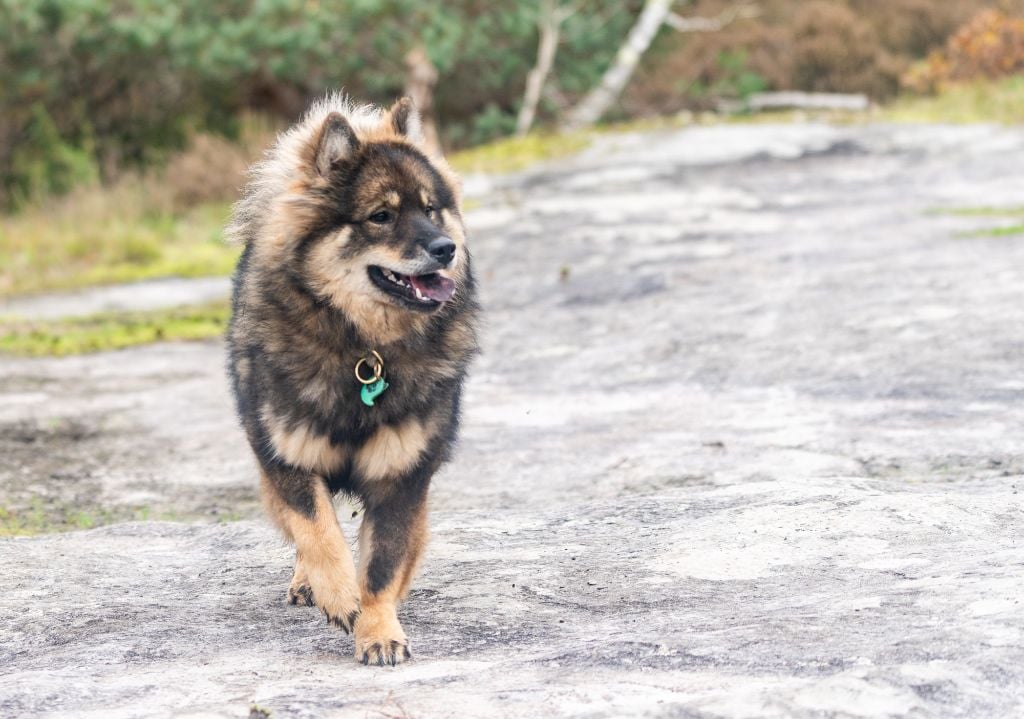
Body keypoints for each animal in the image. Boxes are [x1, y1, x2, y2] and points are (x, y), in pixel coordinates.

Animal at [225, 93, 479, 667]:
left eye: (431, 209)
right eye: (381, 216)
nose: (445, 248)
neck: (364, 352)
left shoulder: (401, 476)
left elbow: (381, 564)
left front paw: (379, 630)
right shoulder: (288, 460)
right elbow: (319, 533)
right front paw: (339, 595)